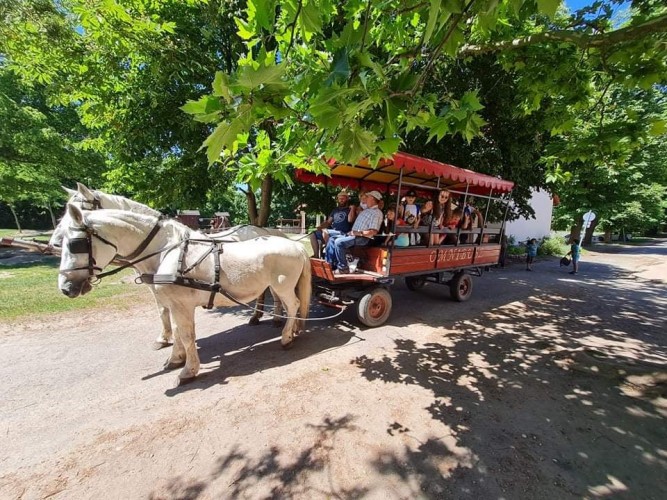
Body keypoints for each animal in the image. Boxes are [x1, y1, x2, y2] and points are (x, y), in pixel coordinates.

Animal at [51, 184, 290, 348]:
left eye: (79, 209)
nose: (53, 243)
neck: (162, 243)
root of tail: (264, 230)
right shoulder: (154, 286)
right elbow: (162, 310)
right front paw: (165, 337)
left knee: (272, 293)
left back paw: (274, 318)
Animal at [57, 205, 314, 384]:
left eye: (75, 244)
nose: (66, 288)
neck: (167, 250)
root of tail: (296, 245)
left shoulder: (182, 305)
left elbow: (188, 336)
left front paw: (188, 371)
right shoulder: (173, 304)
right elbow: (178, 331)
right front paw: (175, 358)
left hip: (283, 286)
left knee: (293, 304)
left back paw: (286, 337)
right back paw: (290, 329)